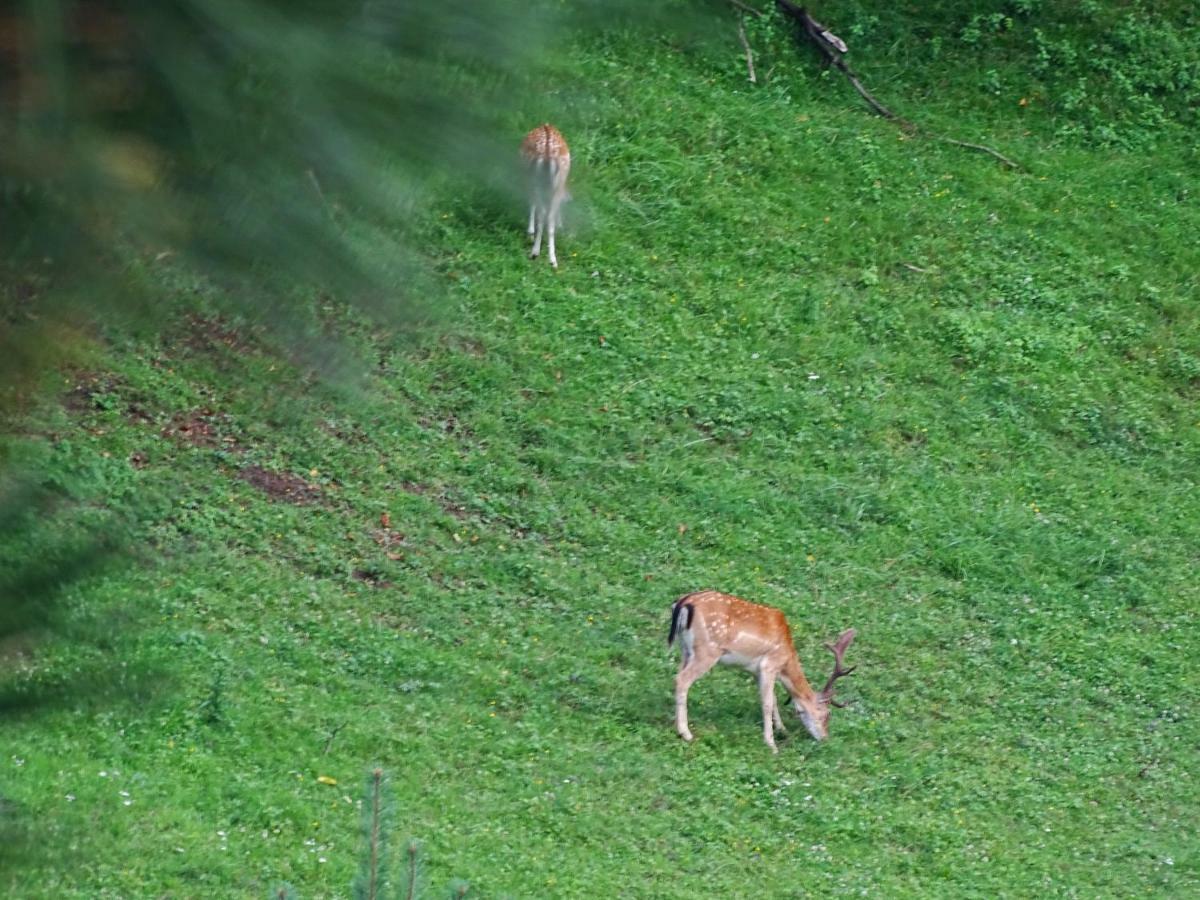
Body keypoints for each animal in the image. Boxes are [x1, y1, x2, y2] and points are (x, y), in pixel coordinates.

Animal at [518, 125, 568, 270]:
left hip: (533, 179)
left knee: (542, 212)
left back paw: (536, 253)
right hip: (554, 182)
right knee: (547, 215)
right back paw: (550, 259)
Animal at [672, 592, 859, 753]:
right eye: (827, 715)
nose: (825, 738)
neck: (787, 658)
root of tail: (684, 603)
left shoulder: (756, 671)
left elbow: (774, 699)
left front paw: (782, 729)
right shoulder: (769, 665)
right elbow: (767, 703)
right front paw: (771, 744)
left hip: (685, 649)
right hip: (707, 650)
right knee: (682, 679)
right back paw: (686, 733)